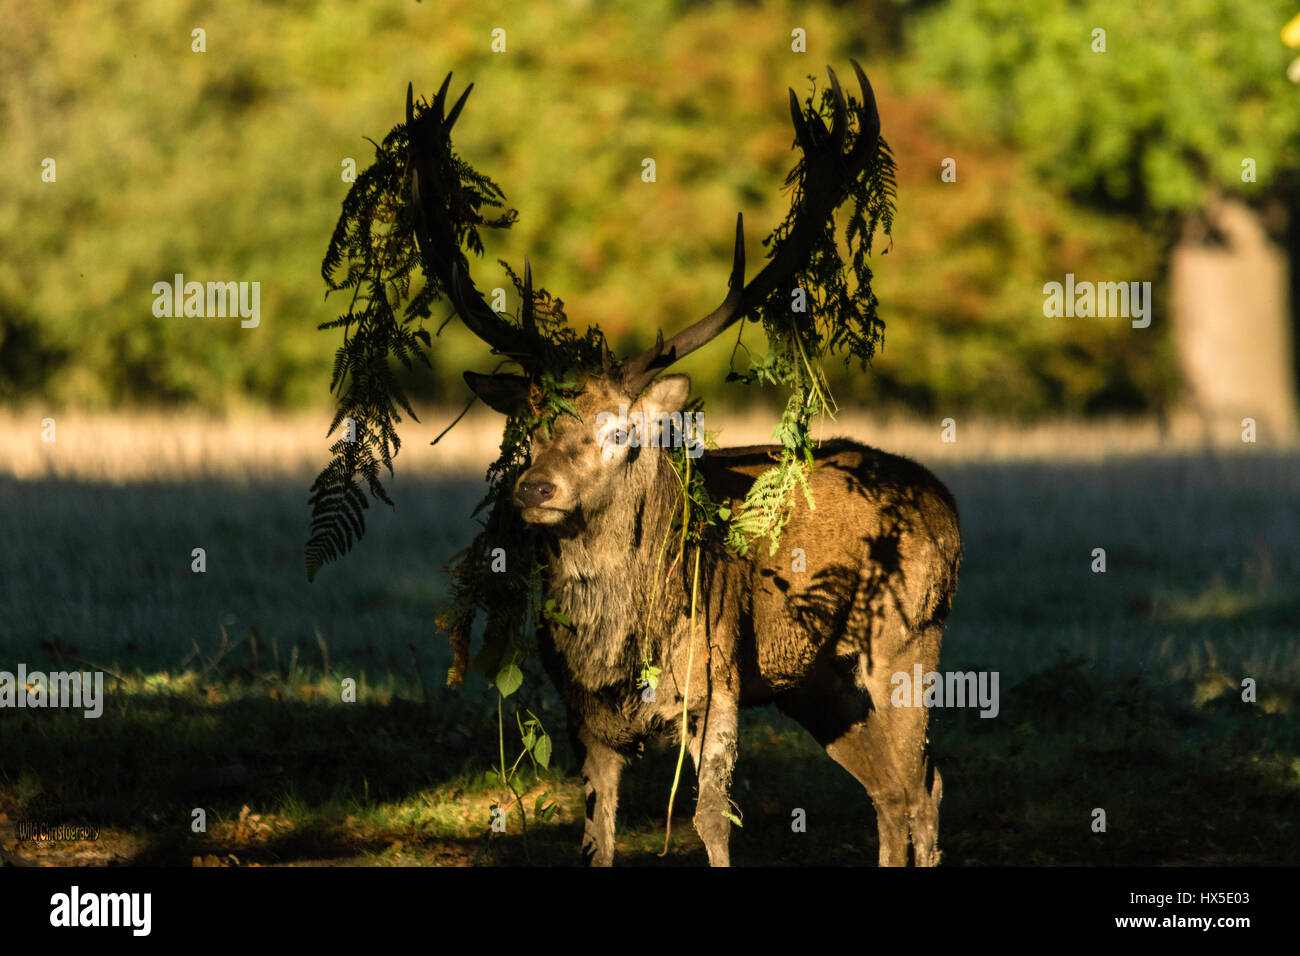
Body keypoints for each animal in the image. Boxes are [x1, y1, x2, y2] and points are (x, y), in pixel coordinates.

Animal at [408, 62, 961, 866]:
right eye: (527, 424)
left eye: (617, 431)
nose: (535, 488)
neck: (615, 652)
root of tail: (944, 502)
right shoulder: (584, 714)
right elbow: (594, 835)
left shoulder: (716, 680)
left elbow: (709, 820)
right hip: (816, 682)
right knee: (890, 792)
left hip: (909, 643)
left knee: (926, 785)